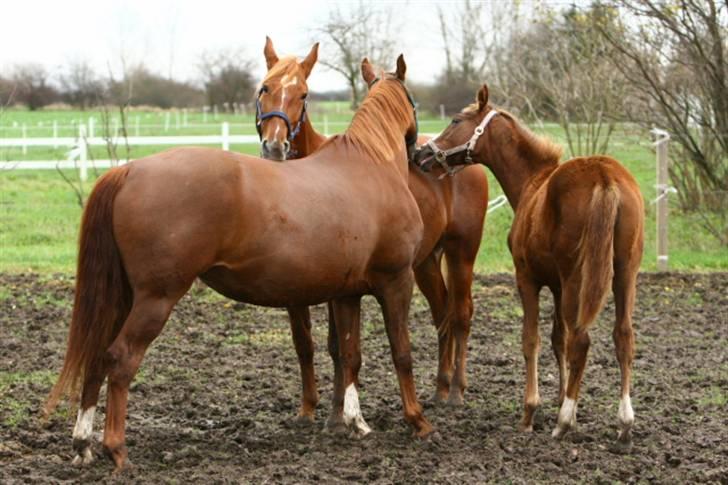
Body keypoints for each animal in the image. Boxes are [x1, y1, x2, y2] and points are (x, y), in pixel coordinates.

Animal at [48, 54, 436, 468]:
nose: (422, 152)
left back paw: (83, 443)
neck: (372, 165)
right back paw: (116, 448)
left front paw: (355, 422)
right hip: (155, 299)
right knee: (120, 360)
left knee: (96, 355)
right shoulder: (396, 282)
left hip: (121, 297)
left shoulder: (347, 293)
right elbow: (402, 352)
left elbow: (350, 355)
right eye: (413, 100)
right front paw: (418, 421)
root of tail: (129, 170)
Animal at [256, 36, 490, 412]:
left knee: (462, 314)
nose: (275, 147)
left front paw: (339, 404)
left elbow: (339, 347)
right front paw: (309, 408)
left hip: (461, 252)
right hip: (426, 262)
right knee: (443, 314)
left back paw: (456, 389)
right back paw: (440, 388)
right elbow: (305, 343)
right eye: (265, 88)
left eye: (303, 94)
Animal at [412, 84, 644, 450]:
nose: (420, 155)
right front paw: (563, 401)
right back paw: (623, 424)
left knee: (582, 340)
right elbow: (557, 338)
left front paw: (532, 412)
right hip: (624, 275)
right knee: (623, 336)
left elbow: (530, 338)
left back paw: (563, 423)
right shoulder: (558, 285)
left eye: (456, 120)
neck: (534, 183)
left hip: (579, 277)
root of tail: (605, 177)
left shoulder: (528, 278)